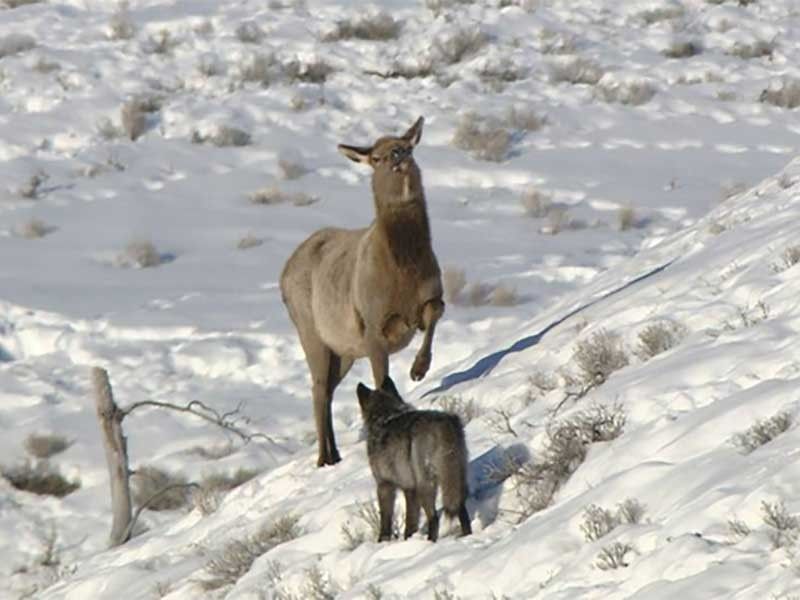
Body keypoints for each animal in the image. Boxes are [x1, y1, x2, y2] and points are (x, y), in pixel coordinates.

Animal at [282, 115, 444, 466]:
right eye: (377, 158)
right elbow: (381, 379)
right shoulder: (371, 324)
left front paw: (419, 368)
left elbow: (435, 312)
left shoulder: (430, 294)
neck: (404, 272)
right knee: (318, 388)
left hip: (343, 350)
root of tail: (282, 274)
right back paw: (324, 458)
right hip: (310, 332)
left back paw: (335, 454)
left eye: (408, 146)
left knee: (328, 389)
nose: (398, 155)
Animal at [354, 380, 468, 544]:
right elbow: (411, 522)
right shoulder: (410, 489)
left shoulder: (385, 485)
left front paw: (383, 541)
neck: (385, 416)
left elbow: (387, 521)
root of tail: (443, 423)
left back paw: (429, 543)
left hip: (425, 486)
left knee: (434, 517)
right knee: (461, 510)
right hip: (454, 481)